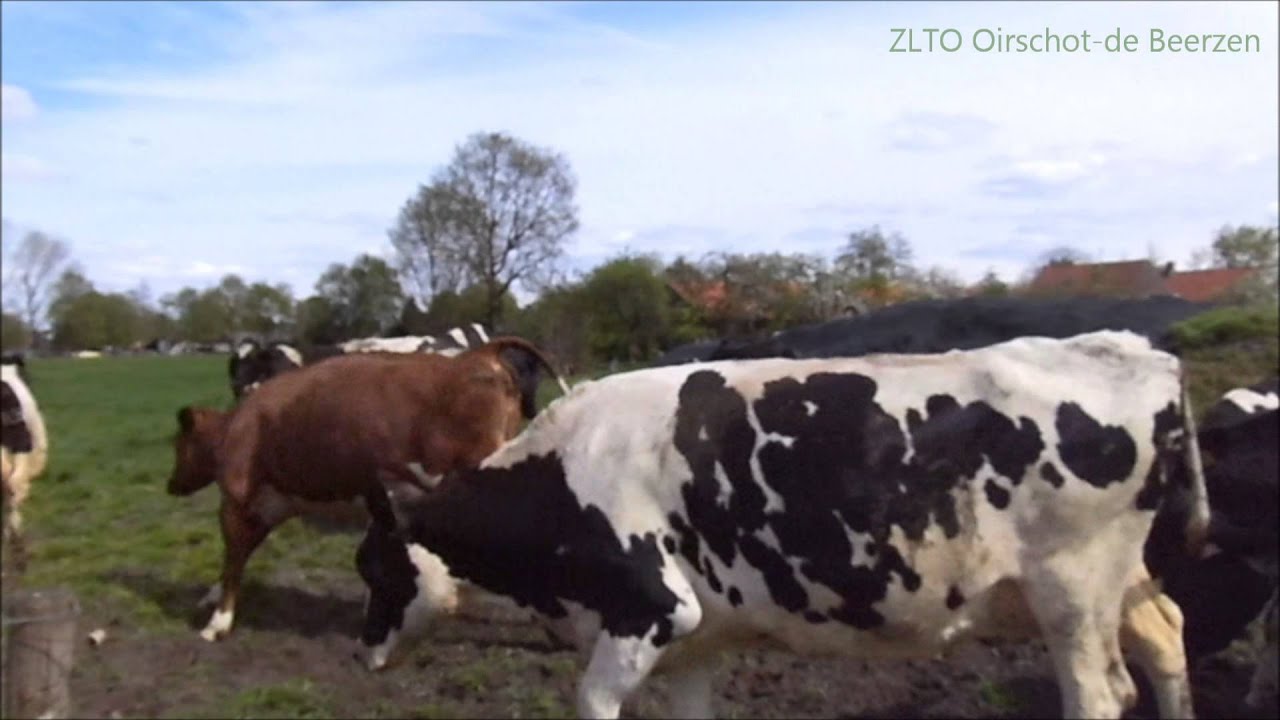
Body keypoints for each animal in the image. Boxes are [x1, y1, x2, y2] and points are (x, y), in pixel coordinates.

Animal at [170, 338, 569, 643]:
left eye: (179, 443)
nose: (171, 484)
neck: (238, 427)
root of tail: (482, 354)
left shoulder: (235, 502)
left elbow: (233, 561)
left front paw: (217, 623)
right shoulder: (269, 506)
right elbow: (239, 557)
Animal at [370, 330, 1211, 719]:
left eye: (373, 564)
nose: (365, 652)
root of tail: (1129, 349)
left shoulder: (652, 611)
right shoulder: (696, 639)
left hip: (1071, 593)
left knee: (1100, 694)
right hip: (1118, 584)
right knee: (1167, 637)